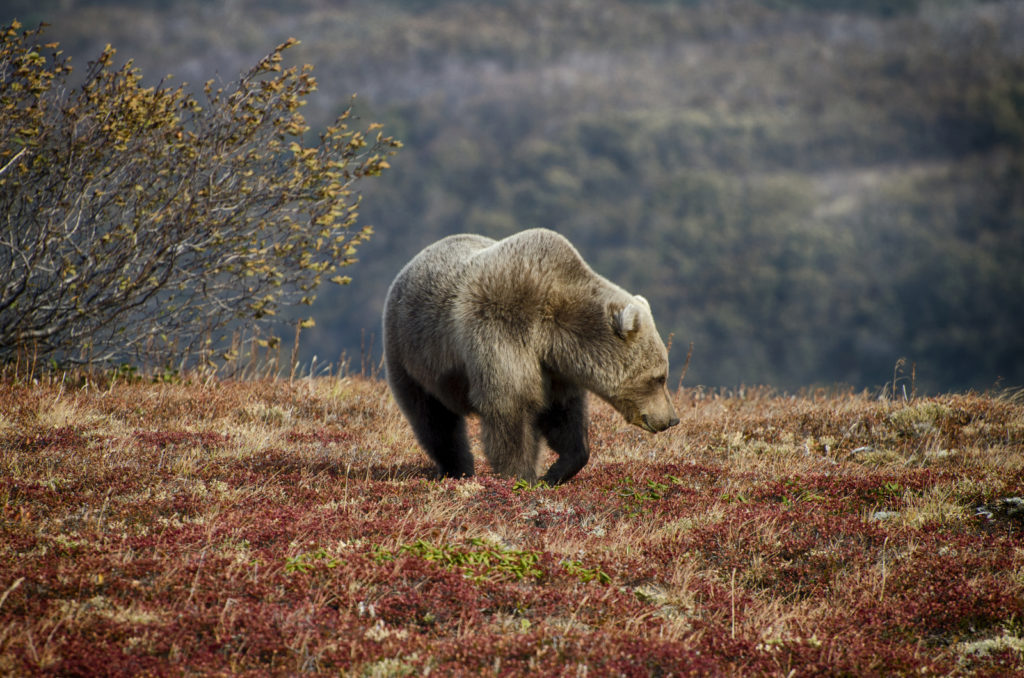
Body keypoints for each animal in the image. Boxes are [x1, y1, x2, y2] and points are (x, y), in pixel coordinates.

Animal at [380, 231, 675, 485]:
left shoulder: (553, 368)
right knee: (433, 420)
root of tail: (410, 265)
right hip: (412, 355)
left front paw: (556, 471)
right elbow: (511, 407)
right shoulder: (503, 333)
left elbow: (563, 415)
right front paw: (522, 476)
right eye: (659, 377)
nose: (672, 420)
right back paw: (456, 469)